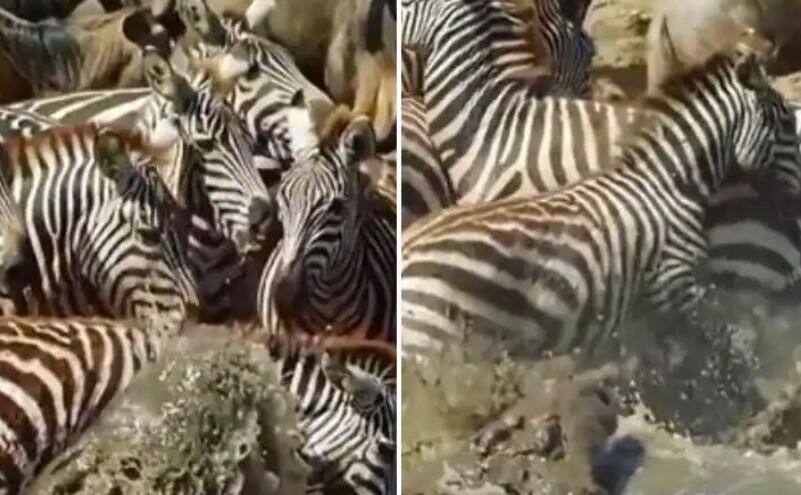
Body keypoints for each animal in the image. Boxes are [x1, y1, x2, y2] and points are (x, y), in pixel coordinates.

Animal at [401, 49, 801, 364]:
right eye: (785, 121)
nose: (796, 195)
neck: (670, 181)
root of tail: (407, 250)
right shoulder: (674, 286)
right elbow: (712, 355)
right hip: (432, 343)